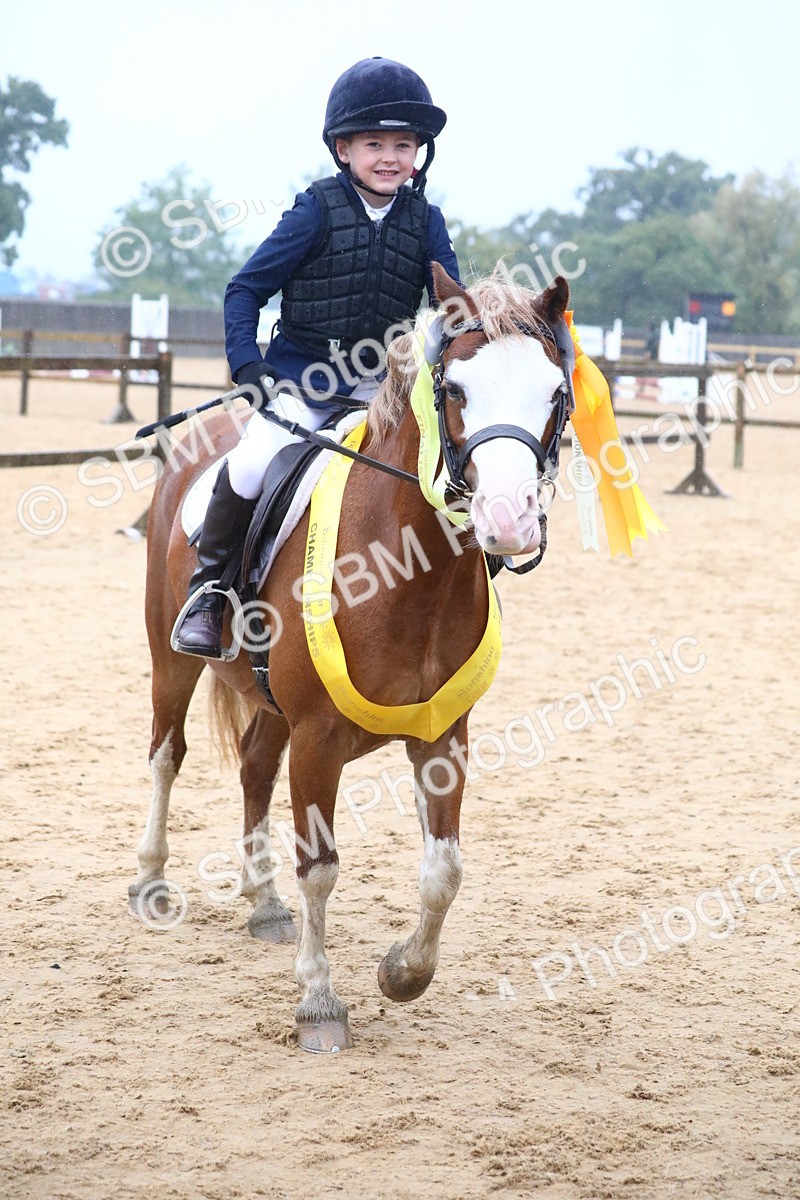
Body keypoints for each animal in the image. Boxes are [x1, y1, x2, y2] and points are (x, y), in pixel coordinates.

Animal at [129, 264, 573, 1052]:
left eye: (553, 392)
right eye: (455, 391)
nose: (509, 520)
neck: (411, 578)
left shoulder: (443, 738)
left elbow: (445, 869)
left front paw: (403, 973)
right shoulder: (317, 741)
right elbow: (321, 870)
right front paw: (319, 1004)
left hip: (272, 708)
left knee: (252, 766)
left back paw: (263, 902)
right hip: (170, 657)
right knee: (166, 753)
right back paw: (152, 880)